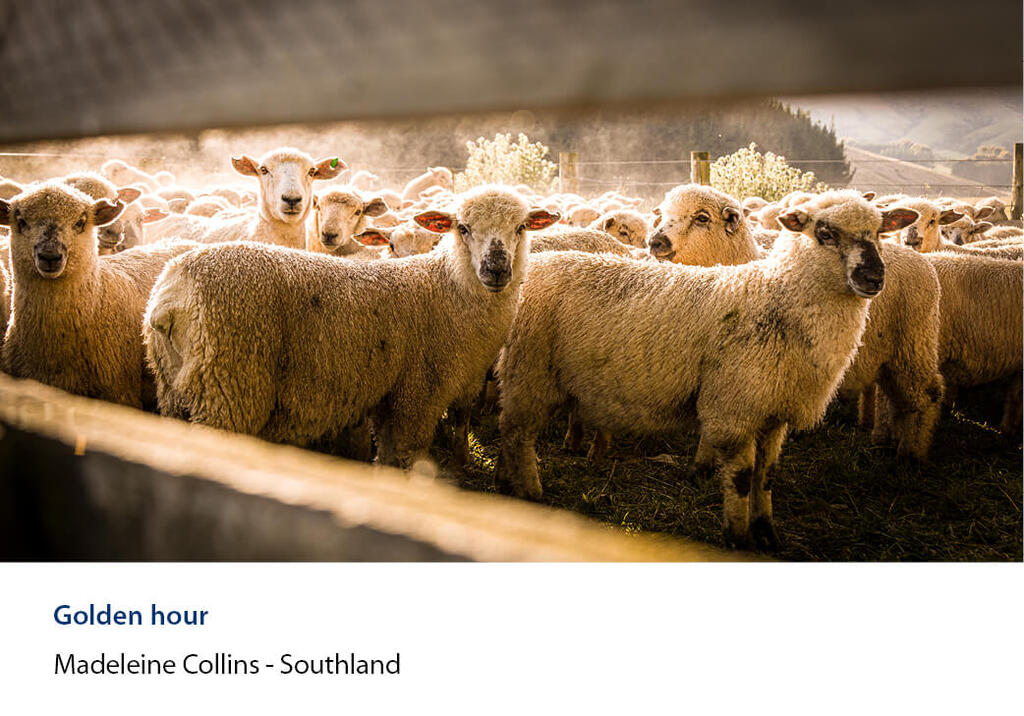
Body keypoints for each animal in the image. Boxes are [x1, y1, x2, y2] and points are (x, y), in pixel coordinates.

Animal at [142, 186, 560, 468]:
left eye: (521, 228)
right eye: (463, 228)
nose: (497, 269)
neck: (445, 287)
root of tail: (170, 298)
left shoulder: (391, 397)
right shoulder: (418, 396)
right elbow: (404, 457)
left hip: (175, 389)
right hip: (230, 389)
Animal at [496, 191, 916, 550]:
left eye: (880, 232)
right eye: (825, 233)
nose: (874, 278)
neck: (779, 298)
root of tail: (535, 267)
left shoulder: (774, 413)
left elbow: (767, 474)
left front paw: (767, 533)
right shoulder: (734, 409)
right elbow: (742, 477)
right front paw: (738, 538)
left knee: (508, 427)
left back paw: (504, 485)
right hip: (531, 369)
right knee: (518, 435)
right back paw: (531, 492)